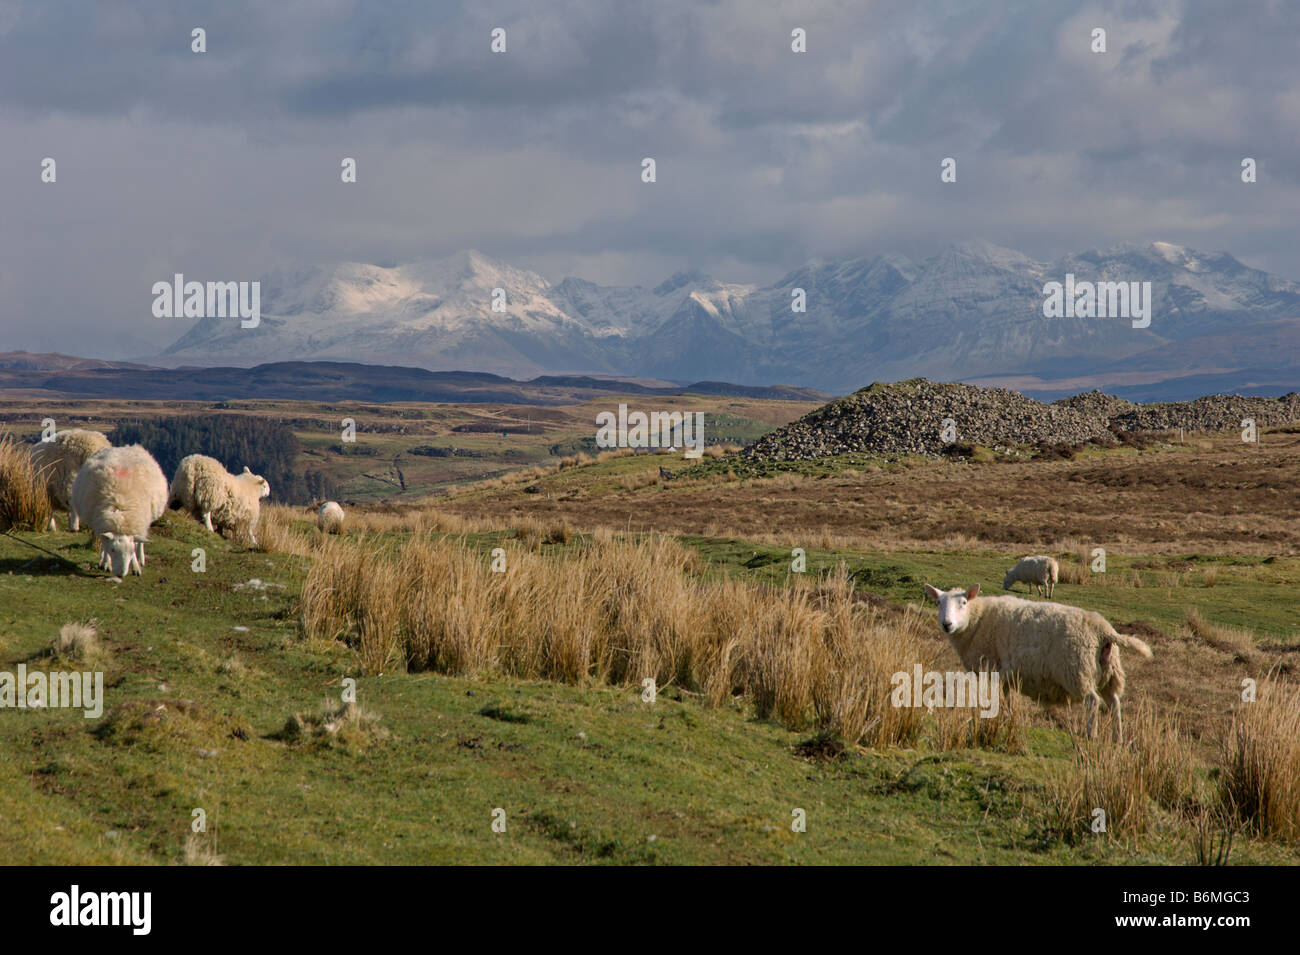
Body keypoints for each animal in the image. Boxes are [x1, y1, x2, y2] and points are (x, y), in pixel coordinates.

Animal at [68, 446, 169, 579]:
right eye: (113, 550)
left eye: (130, 552)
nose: (120, 575)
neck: (121, 516)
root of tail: (126, 447)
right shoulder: (102, 524)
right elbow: (105, 546)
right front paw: (106, 562)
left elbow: (136, 545)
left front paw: (136, 566)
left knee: (141, 539)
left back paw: (141, 558)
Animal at [920, 582, 1154, 748]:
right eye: (938, 603)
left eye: (963, 603)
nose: (947, 624)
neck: (977, 620)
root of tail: (1104, 630)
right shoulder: (1006, 675)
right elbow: (1007, 700)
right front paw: (1006, 719)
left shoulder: (994, 669)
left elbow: (998, 699)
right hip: (1109, 672)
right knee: (1114, 703)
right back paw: (1118, 739)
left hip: (1078, 670)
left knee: (1092, 701)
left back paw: (1091, 734)